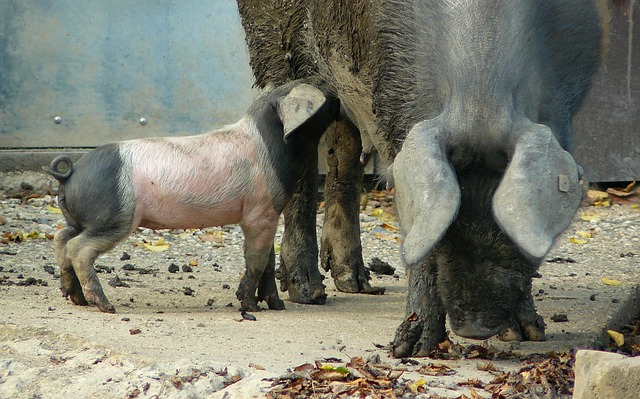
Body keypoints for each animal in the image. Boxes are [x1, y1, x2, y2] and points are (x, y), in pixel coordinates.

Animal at [45, 80, 340, 312]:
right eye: (324, 93)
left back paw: (76, 299)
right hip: (114, 217)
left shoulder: (265, 216)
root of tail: (70, 174)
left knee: (61, 239)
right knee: (78, 248)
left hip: (80, 219)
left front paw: (277, 306)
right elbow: (256, 261)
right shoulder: (260, 213)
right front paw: (249, 306)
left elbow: (267, 260)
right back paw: (106, 306)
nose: (338, 97)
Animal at [238, 0, 608, 356]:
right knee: (301, 153)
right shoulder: (394, 100)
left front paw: (528, 335)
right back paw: (309, 292)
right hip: (273, 43)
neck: (480, 100)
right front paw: (411, 350)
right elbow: (419, 224)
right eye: (449, 229)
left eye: (506, 231)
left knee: (343, 150)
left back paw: (356, 283)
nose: (474, 329)